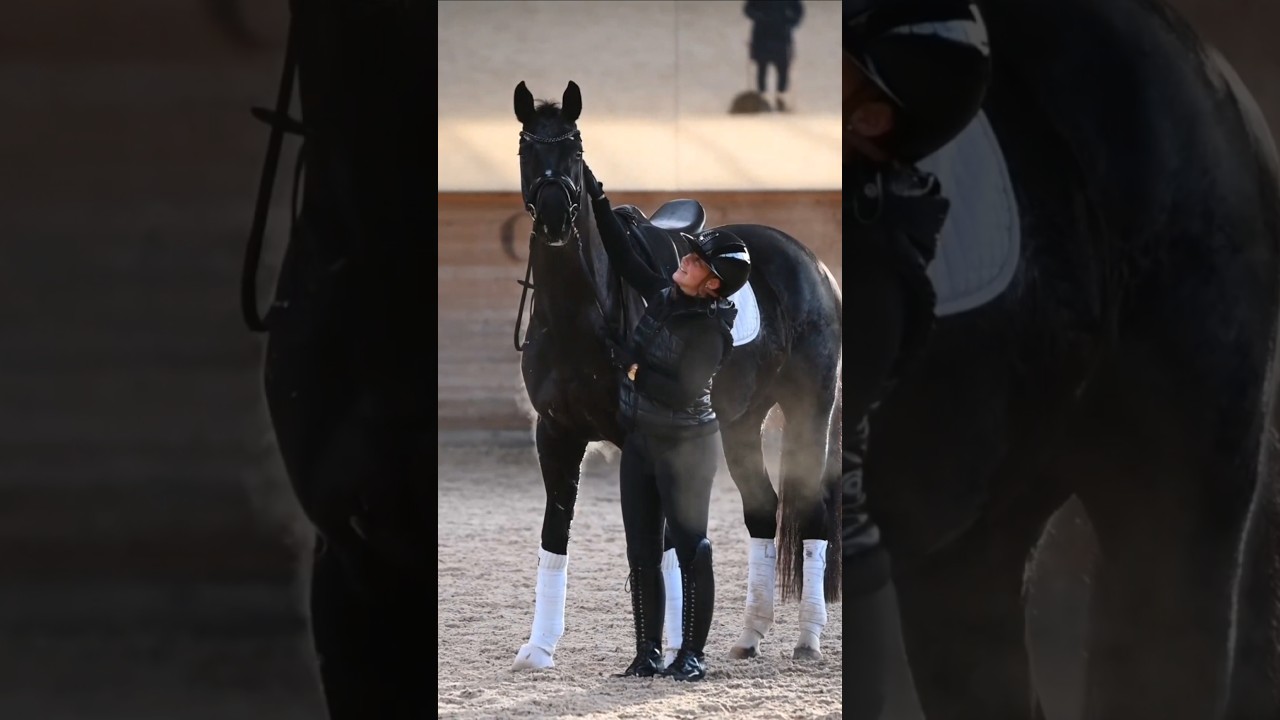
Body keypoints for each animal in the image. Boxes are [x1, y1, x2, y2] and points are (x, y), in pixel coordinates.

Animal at [506, 80, 844, 669]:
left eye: (575, 148)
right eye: (527, 149)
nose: (552, 217)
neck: (576, 312)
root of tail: (813, 264)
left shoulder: (639, 438)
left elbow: (661, 542)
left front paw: (663, 649)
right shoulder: (555, 432)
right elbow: (555, 533)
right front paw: (539, 648)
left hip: (810, 410)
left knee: (810, 510)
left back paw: (807, 639)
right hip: (740, 422)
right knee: (763, 510)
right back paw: (750, 635)